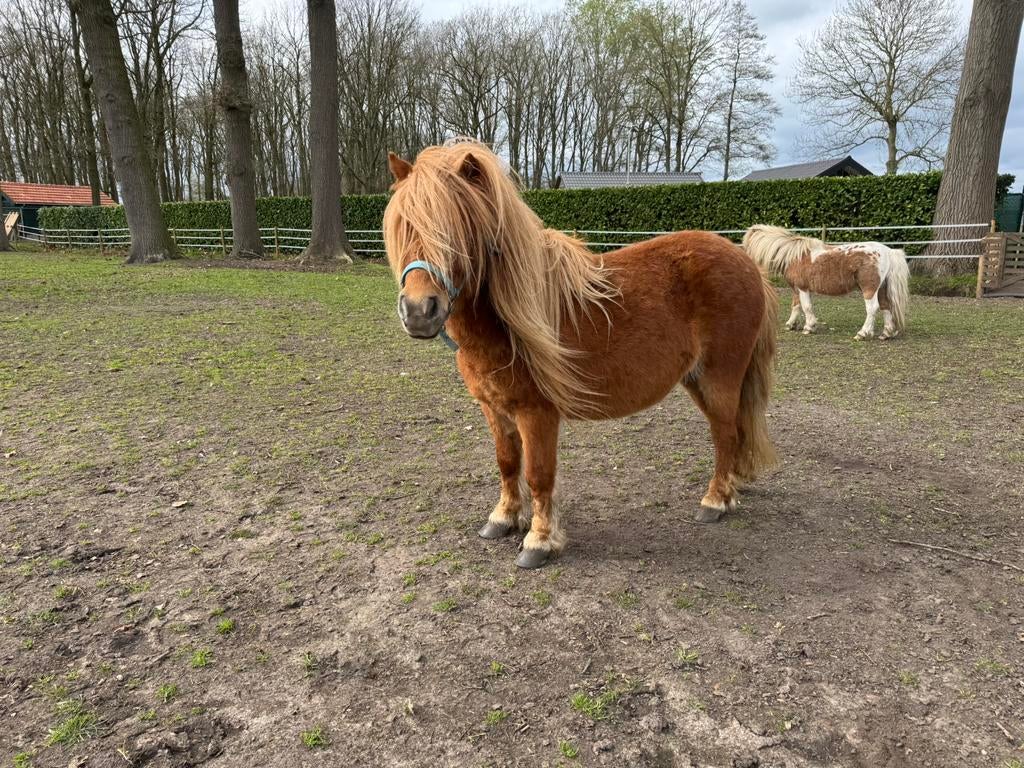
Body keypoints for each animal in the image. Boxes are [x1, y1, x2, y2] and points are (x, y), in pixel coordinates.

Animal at [383, 141, 778, 569]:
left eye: (457, 230)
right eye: (403, 225)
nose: (419, 311)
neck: (507, 324)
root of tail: (747, 262)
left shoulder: (536, 413)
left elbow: (539, 474)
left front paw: (539, 540)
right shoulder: (494, 408)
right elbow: (507, 463)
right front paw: (503, 518)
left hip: (720, 378)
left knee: (725, 434)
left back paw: (715, 501)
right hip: (698, 381)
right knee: (734, 434)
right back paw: (733, 487)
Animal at [742, 225, 910, 341]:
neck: (793, 255)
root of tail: (888, 251)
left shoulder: (802, 288)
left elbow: (806, 307)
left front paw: (809, 327)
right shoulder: (796, 289)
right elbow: (796, 306)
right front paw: (791, 325)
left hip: (869, 289)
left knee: (872, 308)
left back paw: (862, 333)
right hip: (881, 289)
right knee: (885, 306)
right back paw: (886, 334)